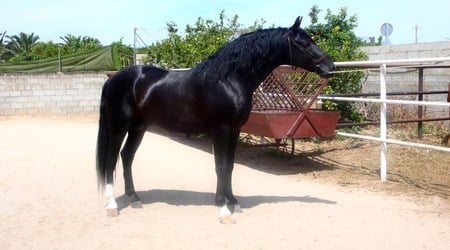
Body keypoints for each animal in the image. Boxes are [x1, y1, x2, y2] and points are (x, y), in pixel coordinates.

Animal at [96, 16, 334, 218]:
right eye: (302, 43)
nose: (330, 66)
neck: (228, 80)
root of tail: (114, 79)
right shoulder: (221, 130)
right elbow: (220, 166)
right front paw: (222, 207)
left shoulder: (235, 130)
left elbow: (229, 165)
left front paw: (233, 201)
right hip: (119, 126)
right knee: (111, 159)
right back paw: (112, 205)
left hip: (139, 126)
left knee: (127, 156)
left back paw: (134, 198)